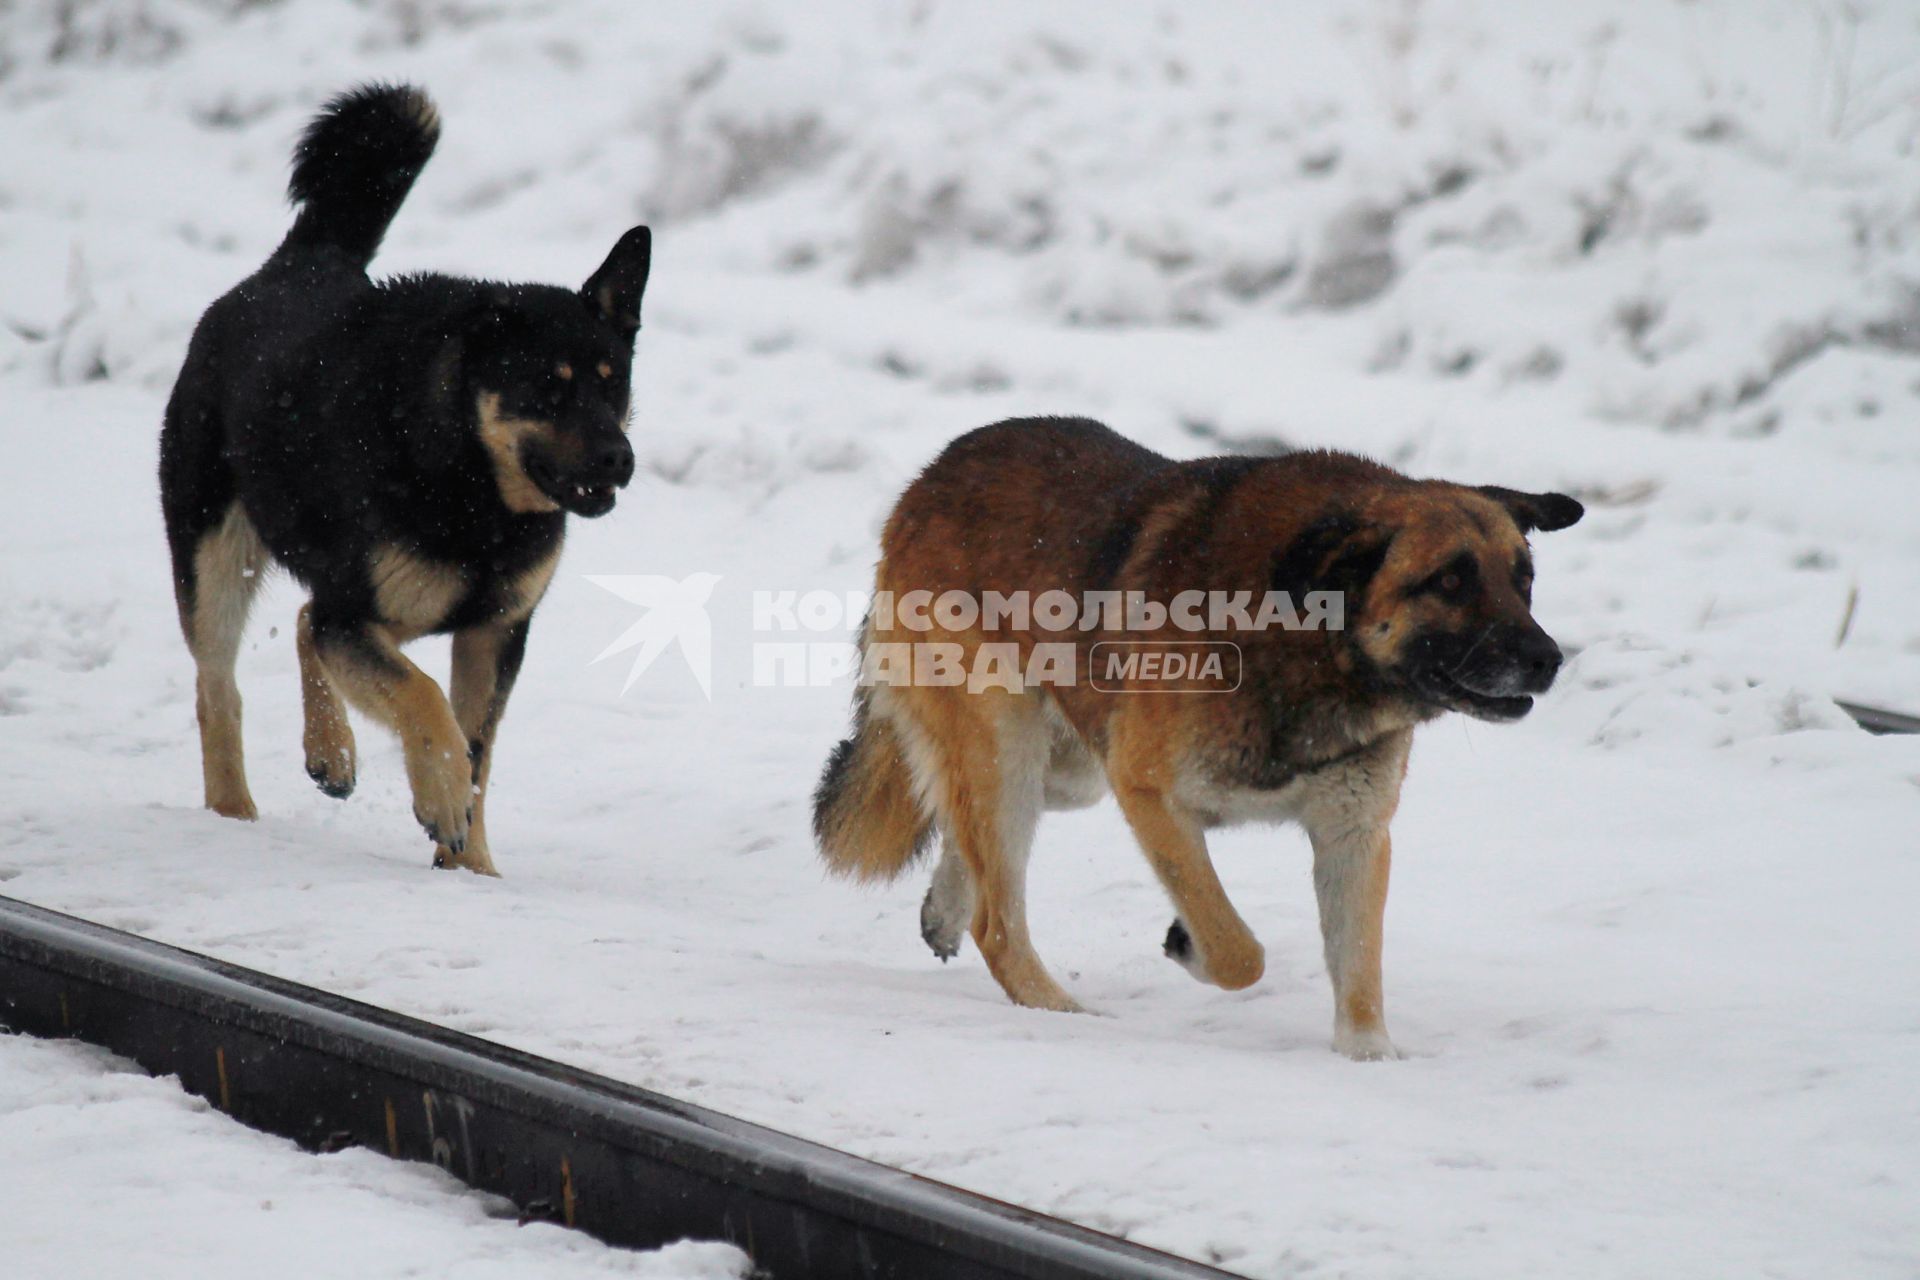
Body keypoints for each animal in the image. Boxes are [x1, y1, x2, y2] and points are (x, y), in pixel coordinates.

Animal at [161, 84, 652, 875]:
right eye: (548, 389)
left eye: (614, 384)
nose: (620, 459)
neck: (474, 488)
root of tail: (300, 262)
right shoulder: (365, 612)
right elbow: (424, 699)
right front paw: (441, 799)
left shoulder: (494, 631)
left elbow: (479, 748)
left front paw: (472, 867)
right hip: (216, 555)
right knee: (218, 686)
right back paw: (233, 812)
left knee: (305, 621)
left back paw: (330, 754)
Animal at [817, 416, 1582, 1059]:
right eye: (1449, 581)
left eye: (1524, 580)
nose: (1548, 659)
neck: (1307, 637)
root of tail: (930, 477)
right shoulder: (1149, 794)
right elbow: (1237, 950)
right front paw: (1189, 944)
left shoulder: (1354, 832)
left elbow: (1359, 969)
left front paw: (1369, 1059)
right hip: (1012, 749)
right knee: (998, 923)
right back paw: (1060, 1012)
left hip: (1065, 770)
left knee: (962, 827)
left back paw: (947, 908)